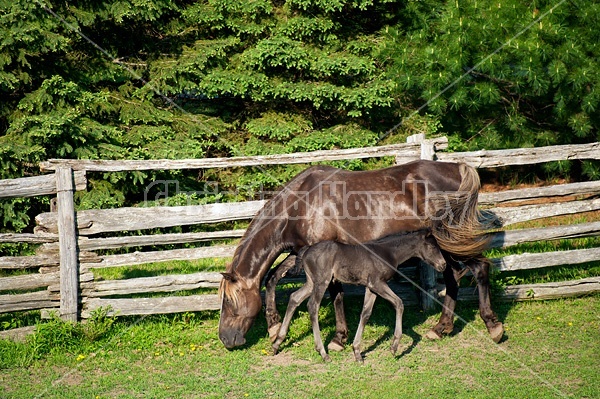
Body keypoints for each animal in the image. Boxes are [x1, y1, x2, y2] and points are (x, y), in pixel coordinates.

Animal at [272, 230, 446, 364]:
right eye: (432, 246)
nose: (443, 265)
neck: (388, 252)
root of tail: (307, 250)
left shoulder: (371, 288)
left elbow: (365, 314)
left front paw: (357, 352)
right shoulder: (378, 283)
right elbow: (399, 303)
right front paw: (394, 347)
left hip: (311, 282)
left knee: (294, 297)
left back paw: (277, 343)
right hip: (322, 281)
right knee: (312, 306)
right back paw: (323, 352)